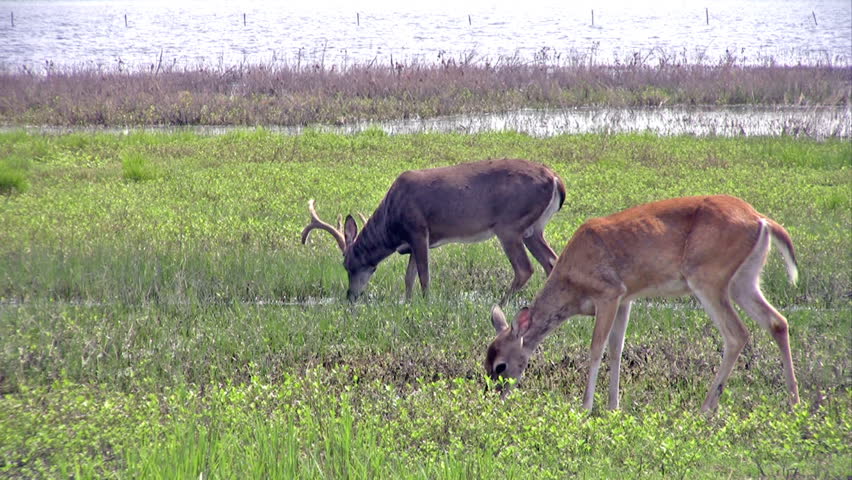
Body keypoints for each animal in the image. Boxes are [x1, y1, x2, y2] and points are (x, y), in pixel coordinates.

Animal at [301, 158, 566, 304]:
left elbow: (424, 276)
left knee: (525, 268)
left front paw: (425, 303)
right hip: (534, 230)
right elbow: (408, 278)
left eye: (347, 265)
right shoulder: (412, 242)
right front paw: (407, 304)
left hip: (509, 225)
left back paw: (501, 303)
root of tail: (556, 179)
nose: (350, 296)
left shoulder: (418, 230)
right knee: (551, 262)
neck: (390, 224)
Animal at [484, 195, 800, 413]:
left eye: (500, 366)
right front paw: (613, 407)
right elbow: (616, 349)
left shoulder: (609, 293)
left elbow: (596, 349)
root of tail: (762, 220)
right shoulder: (626, 300)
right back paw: (793, 402)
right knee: (778, 322)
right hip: (744, 281)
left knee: (736, 334)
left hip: (709, 278)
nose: (494, 396)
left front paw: (585, 407)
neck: (572, 281)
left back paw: (706, 408)